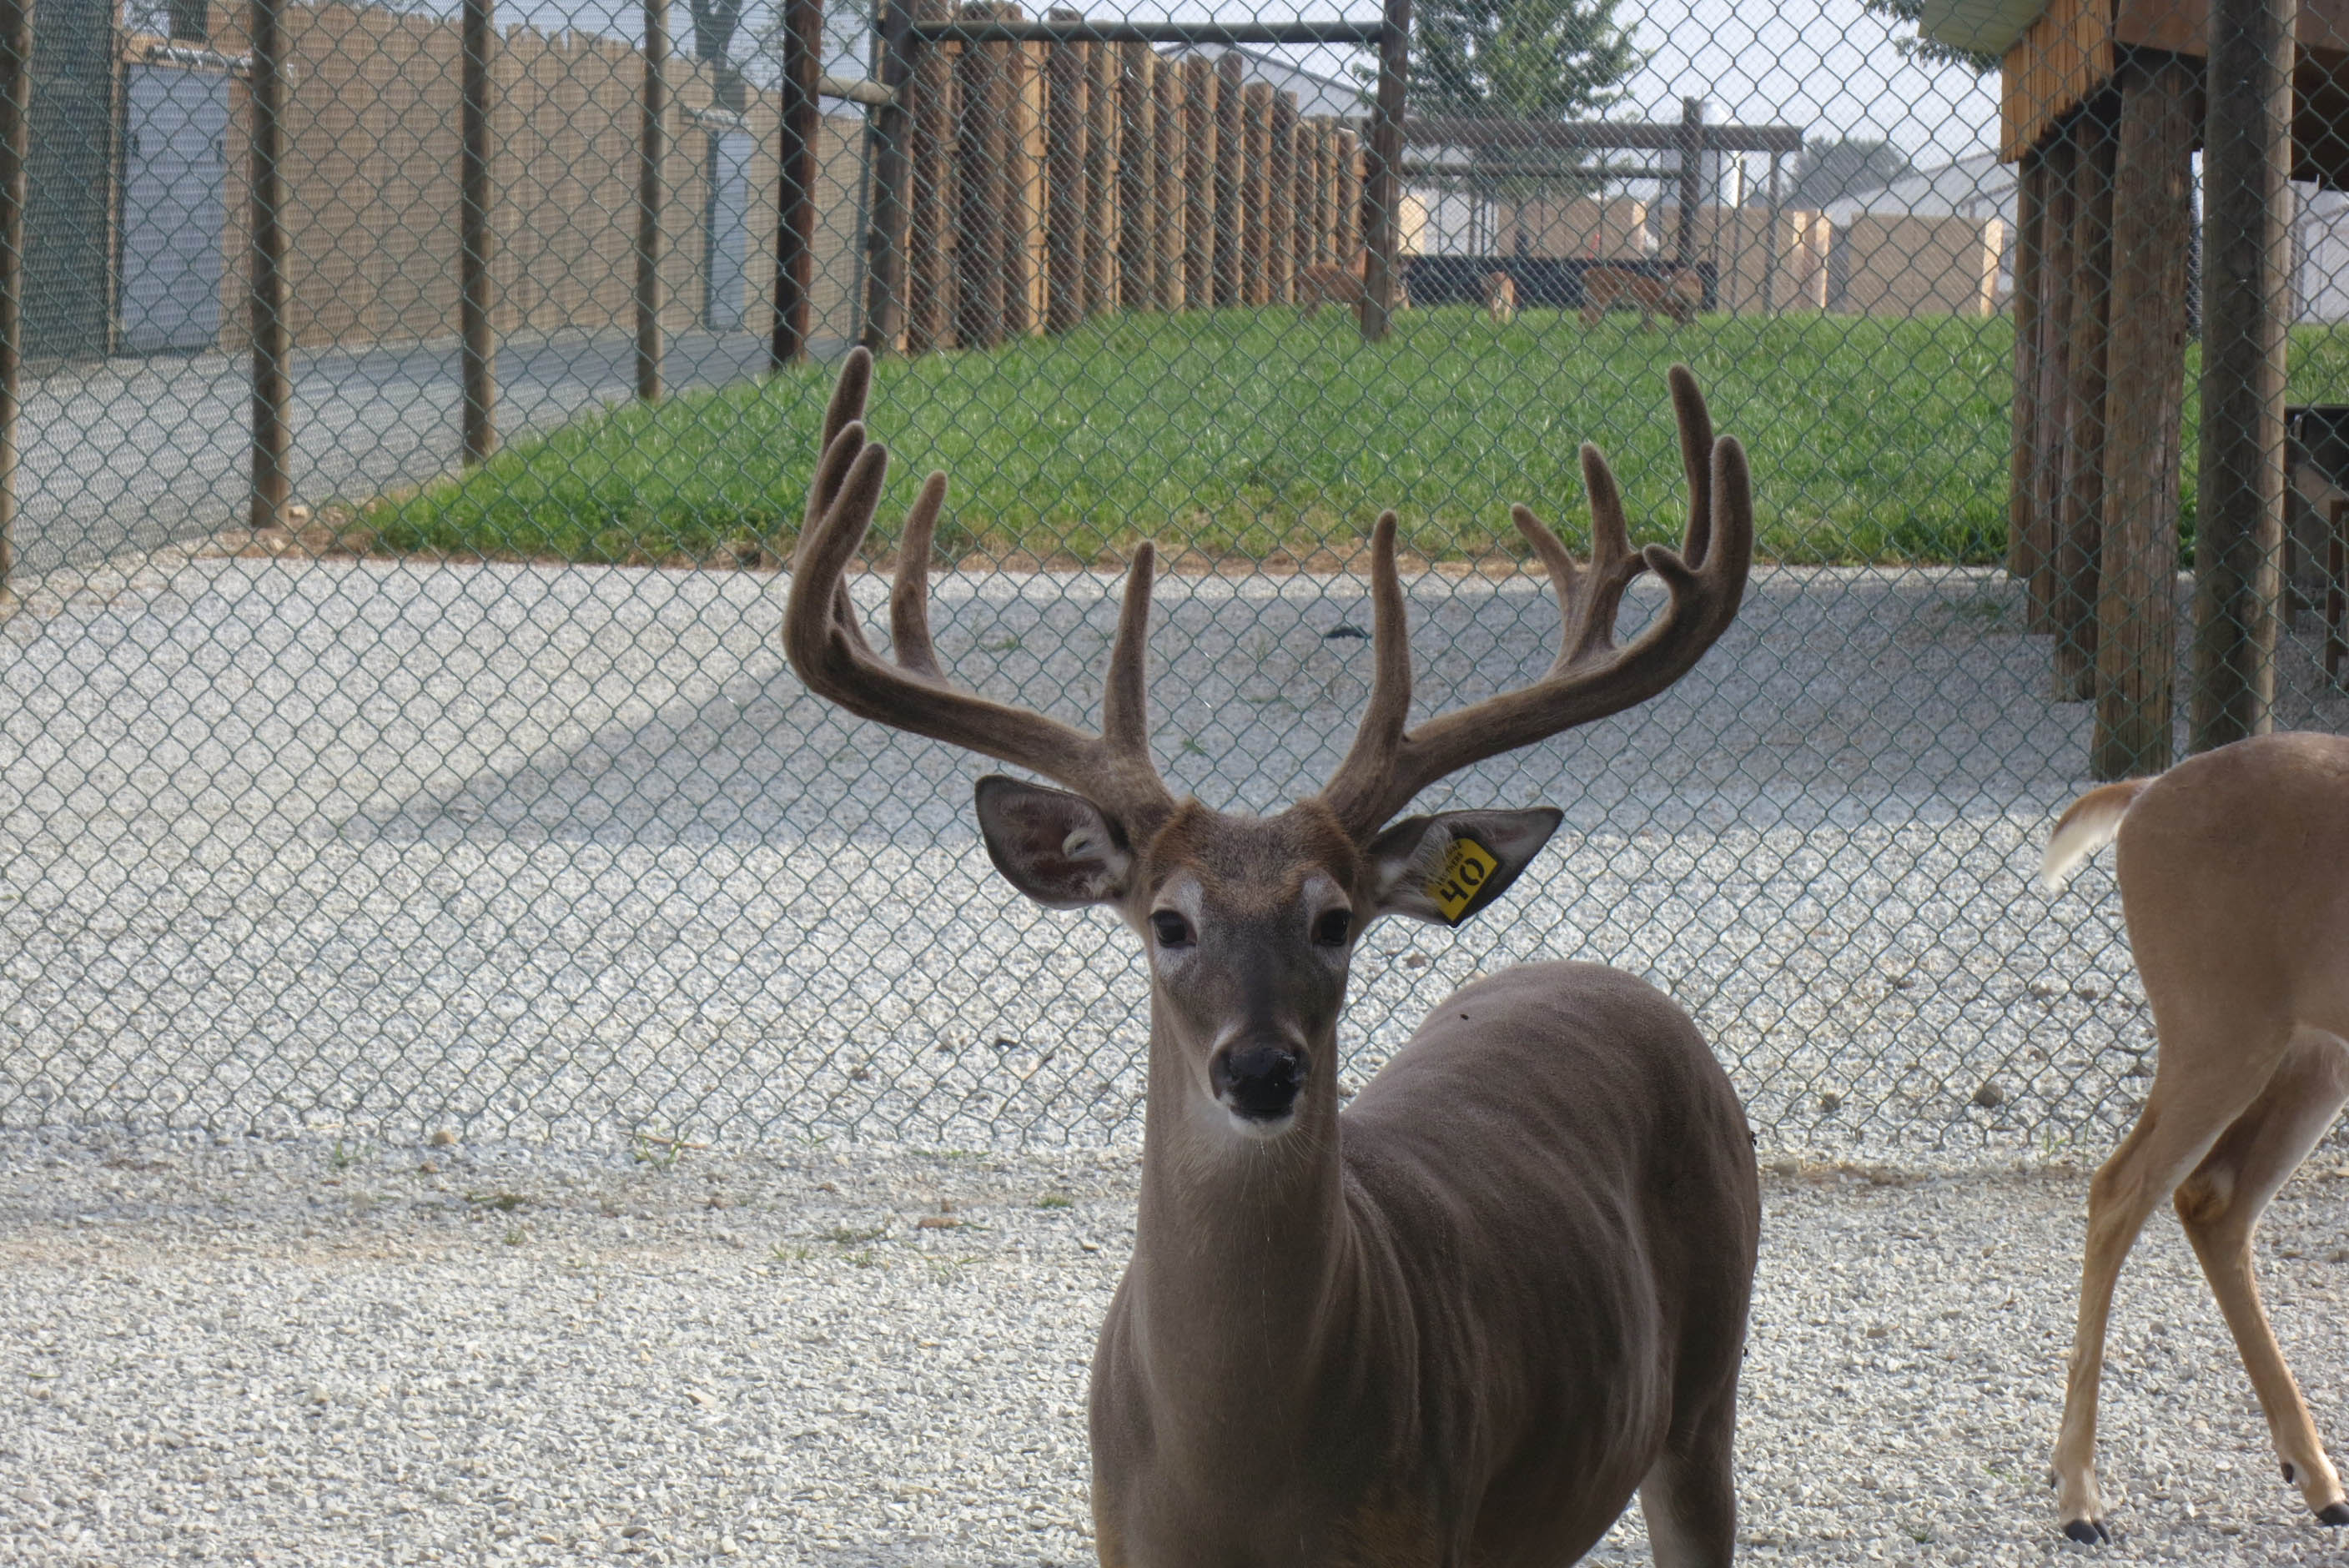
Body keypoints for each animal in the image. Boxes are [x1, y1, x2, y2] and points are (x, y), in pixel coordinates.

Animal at [784, 346, 1761, 1567]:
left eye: (1335, 919)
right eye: (1168, 921)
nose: (1260, 1068)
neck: (1236, 1476)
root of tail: (1603, 977)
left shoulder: (1421, 1528)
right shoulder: (1121, 1536)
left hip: (1705, 1385)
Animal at [2039, 730, 2349, 1544]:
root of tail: (2146, 792)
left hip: (2309, 1049)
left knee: (2214, 1198)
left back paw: (2318, 1478)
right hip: (2215, 1026)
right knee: (2123, 1188)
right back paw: (2079, 1495)